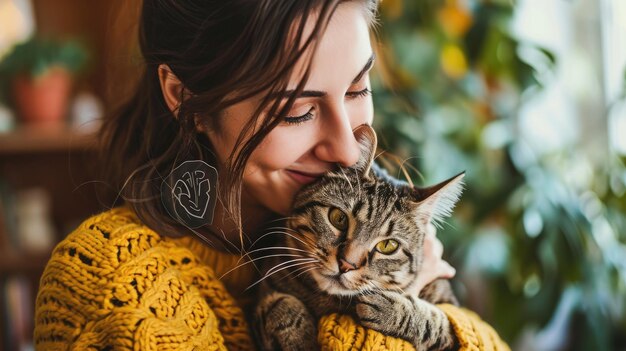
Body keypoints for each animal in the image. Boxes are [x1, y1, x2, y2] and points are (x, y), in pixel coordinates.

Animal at [252, 126, 464, 351]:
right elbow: (280, 306)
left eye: (388, 245)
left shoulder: (450, 310)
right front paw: (298, 339)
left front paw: (393, 310)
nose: (346, 264)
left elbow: (438, 321)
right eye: (338, 218)